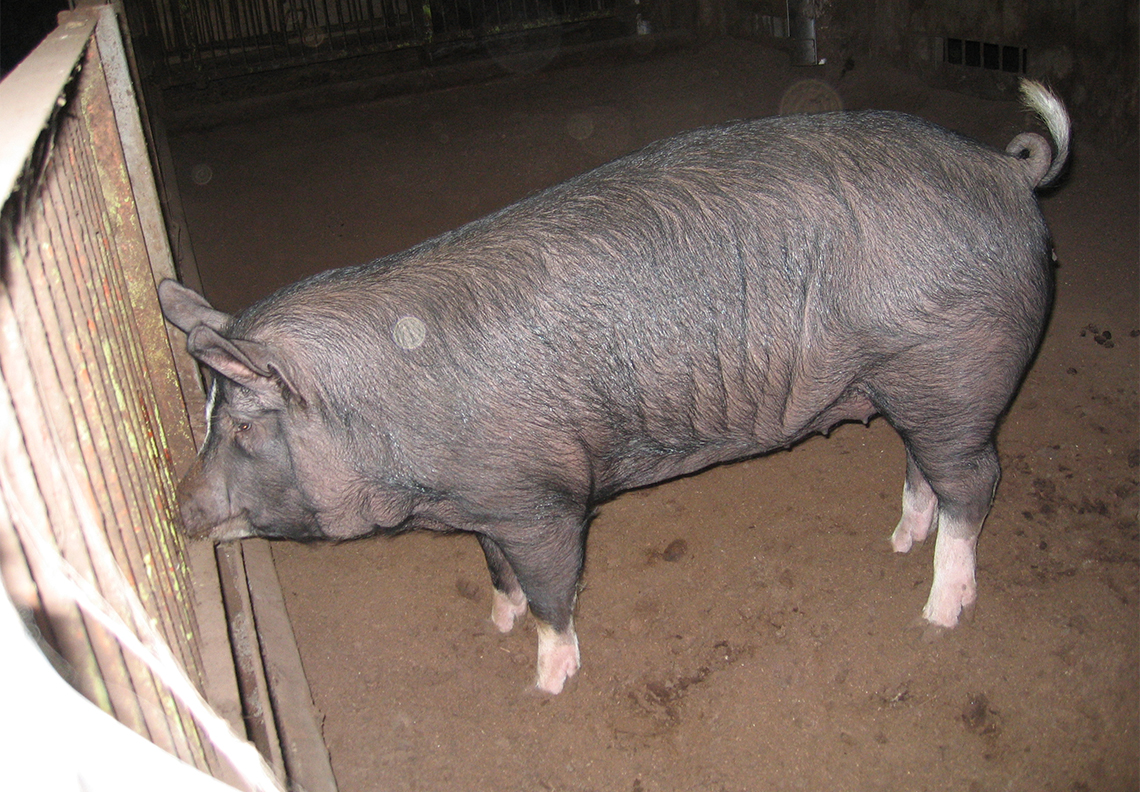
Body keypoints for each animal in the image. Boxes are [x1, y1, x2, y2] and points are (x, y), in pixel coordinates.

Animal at [160, 75, 1067, 692]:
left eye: (244, 430)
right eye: (205, 418)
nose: (179, 511)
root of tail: (1005, 168)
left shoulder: (542, 497)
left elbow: (551, 586)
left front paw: (547, 680)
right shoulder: (486, 502)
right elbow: (497, 569)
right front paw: (495, 621)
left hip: (954, 361)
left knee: (976, 479)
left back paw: (939, 611)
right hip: (914, 385)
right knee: (927, 468)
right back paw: (900, 541)